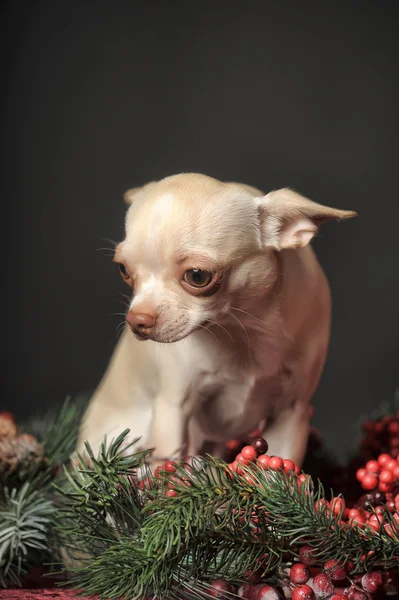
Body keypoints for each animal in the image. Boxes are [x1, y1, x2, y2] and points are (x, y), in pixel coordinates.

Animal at [77, 171, 356, 466]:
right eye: (123, 270)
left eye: (197, 276)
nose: (137, 319)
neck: (247, 328)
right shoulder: (172, 410)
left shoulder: (291, 414)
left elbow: (280, 466)